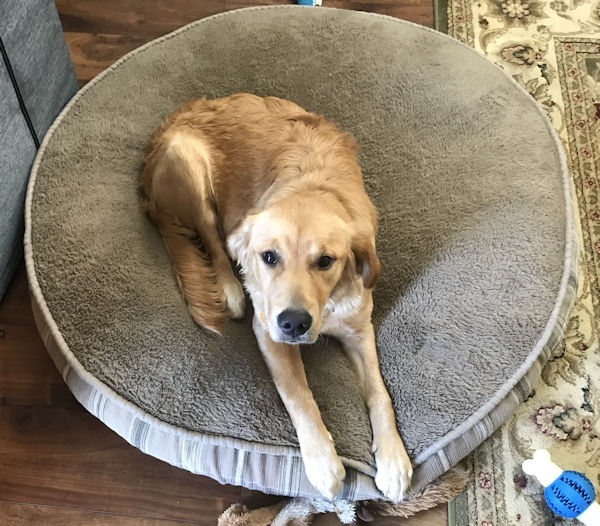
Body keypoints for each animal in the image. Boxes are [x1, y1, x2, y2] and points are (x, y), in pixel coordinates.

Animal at [141, 95, 412, 504]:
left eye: (326, 261)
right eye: (269, 256)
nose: (295, 323)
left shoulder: (359, 329)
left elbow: (380, 394)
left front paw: (393, 458)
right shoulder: (269, 332)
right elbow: (299, 394)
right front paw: (322, 461)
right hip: (188, 166)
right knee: (217, 242)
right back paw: (232, 290)